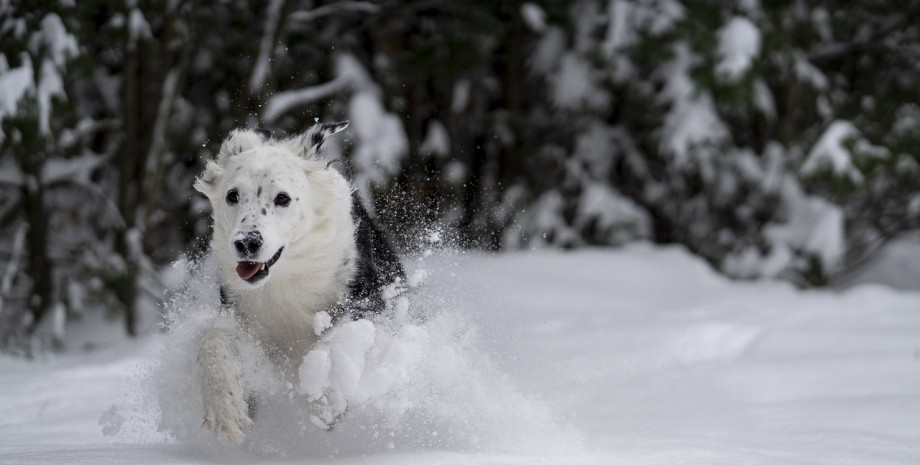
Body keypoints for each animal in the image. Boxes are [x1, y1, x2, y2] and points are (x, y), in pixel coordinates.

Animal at [193, 122, 402, 442]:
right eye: (232, 196)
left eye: (283, 198)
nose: (246, 243)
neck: (286, 277)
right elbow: (213, 340)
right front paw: (224, 409)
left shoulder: (368, 303)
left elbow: (332, 341)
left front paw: (325, 397)